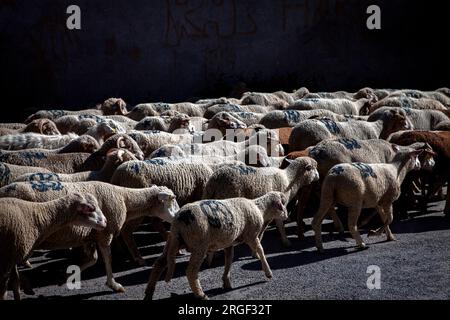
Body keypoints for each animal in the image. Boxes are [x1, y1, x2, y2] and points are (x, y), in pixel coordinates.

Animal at [144, 191, 288, 302]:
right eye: (283, 204)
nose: (287, 216)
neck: (259, 208)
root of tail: (179, 219)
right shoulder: (251, 236)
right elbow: (260, 251)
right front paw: (268, 273)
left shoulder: (229, 242)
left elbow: (229, 260)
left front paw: (226, 282)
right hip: (199, 245)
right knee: (191, 271)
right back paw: (201, 295)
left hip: (174, 241)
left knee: (159, 264)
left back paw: (148, 293)